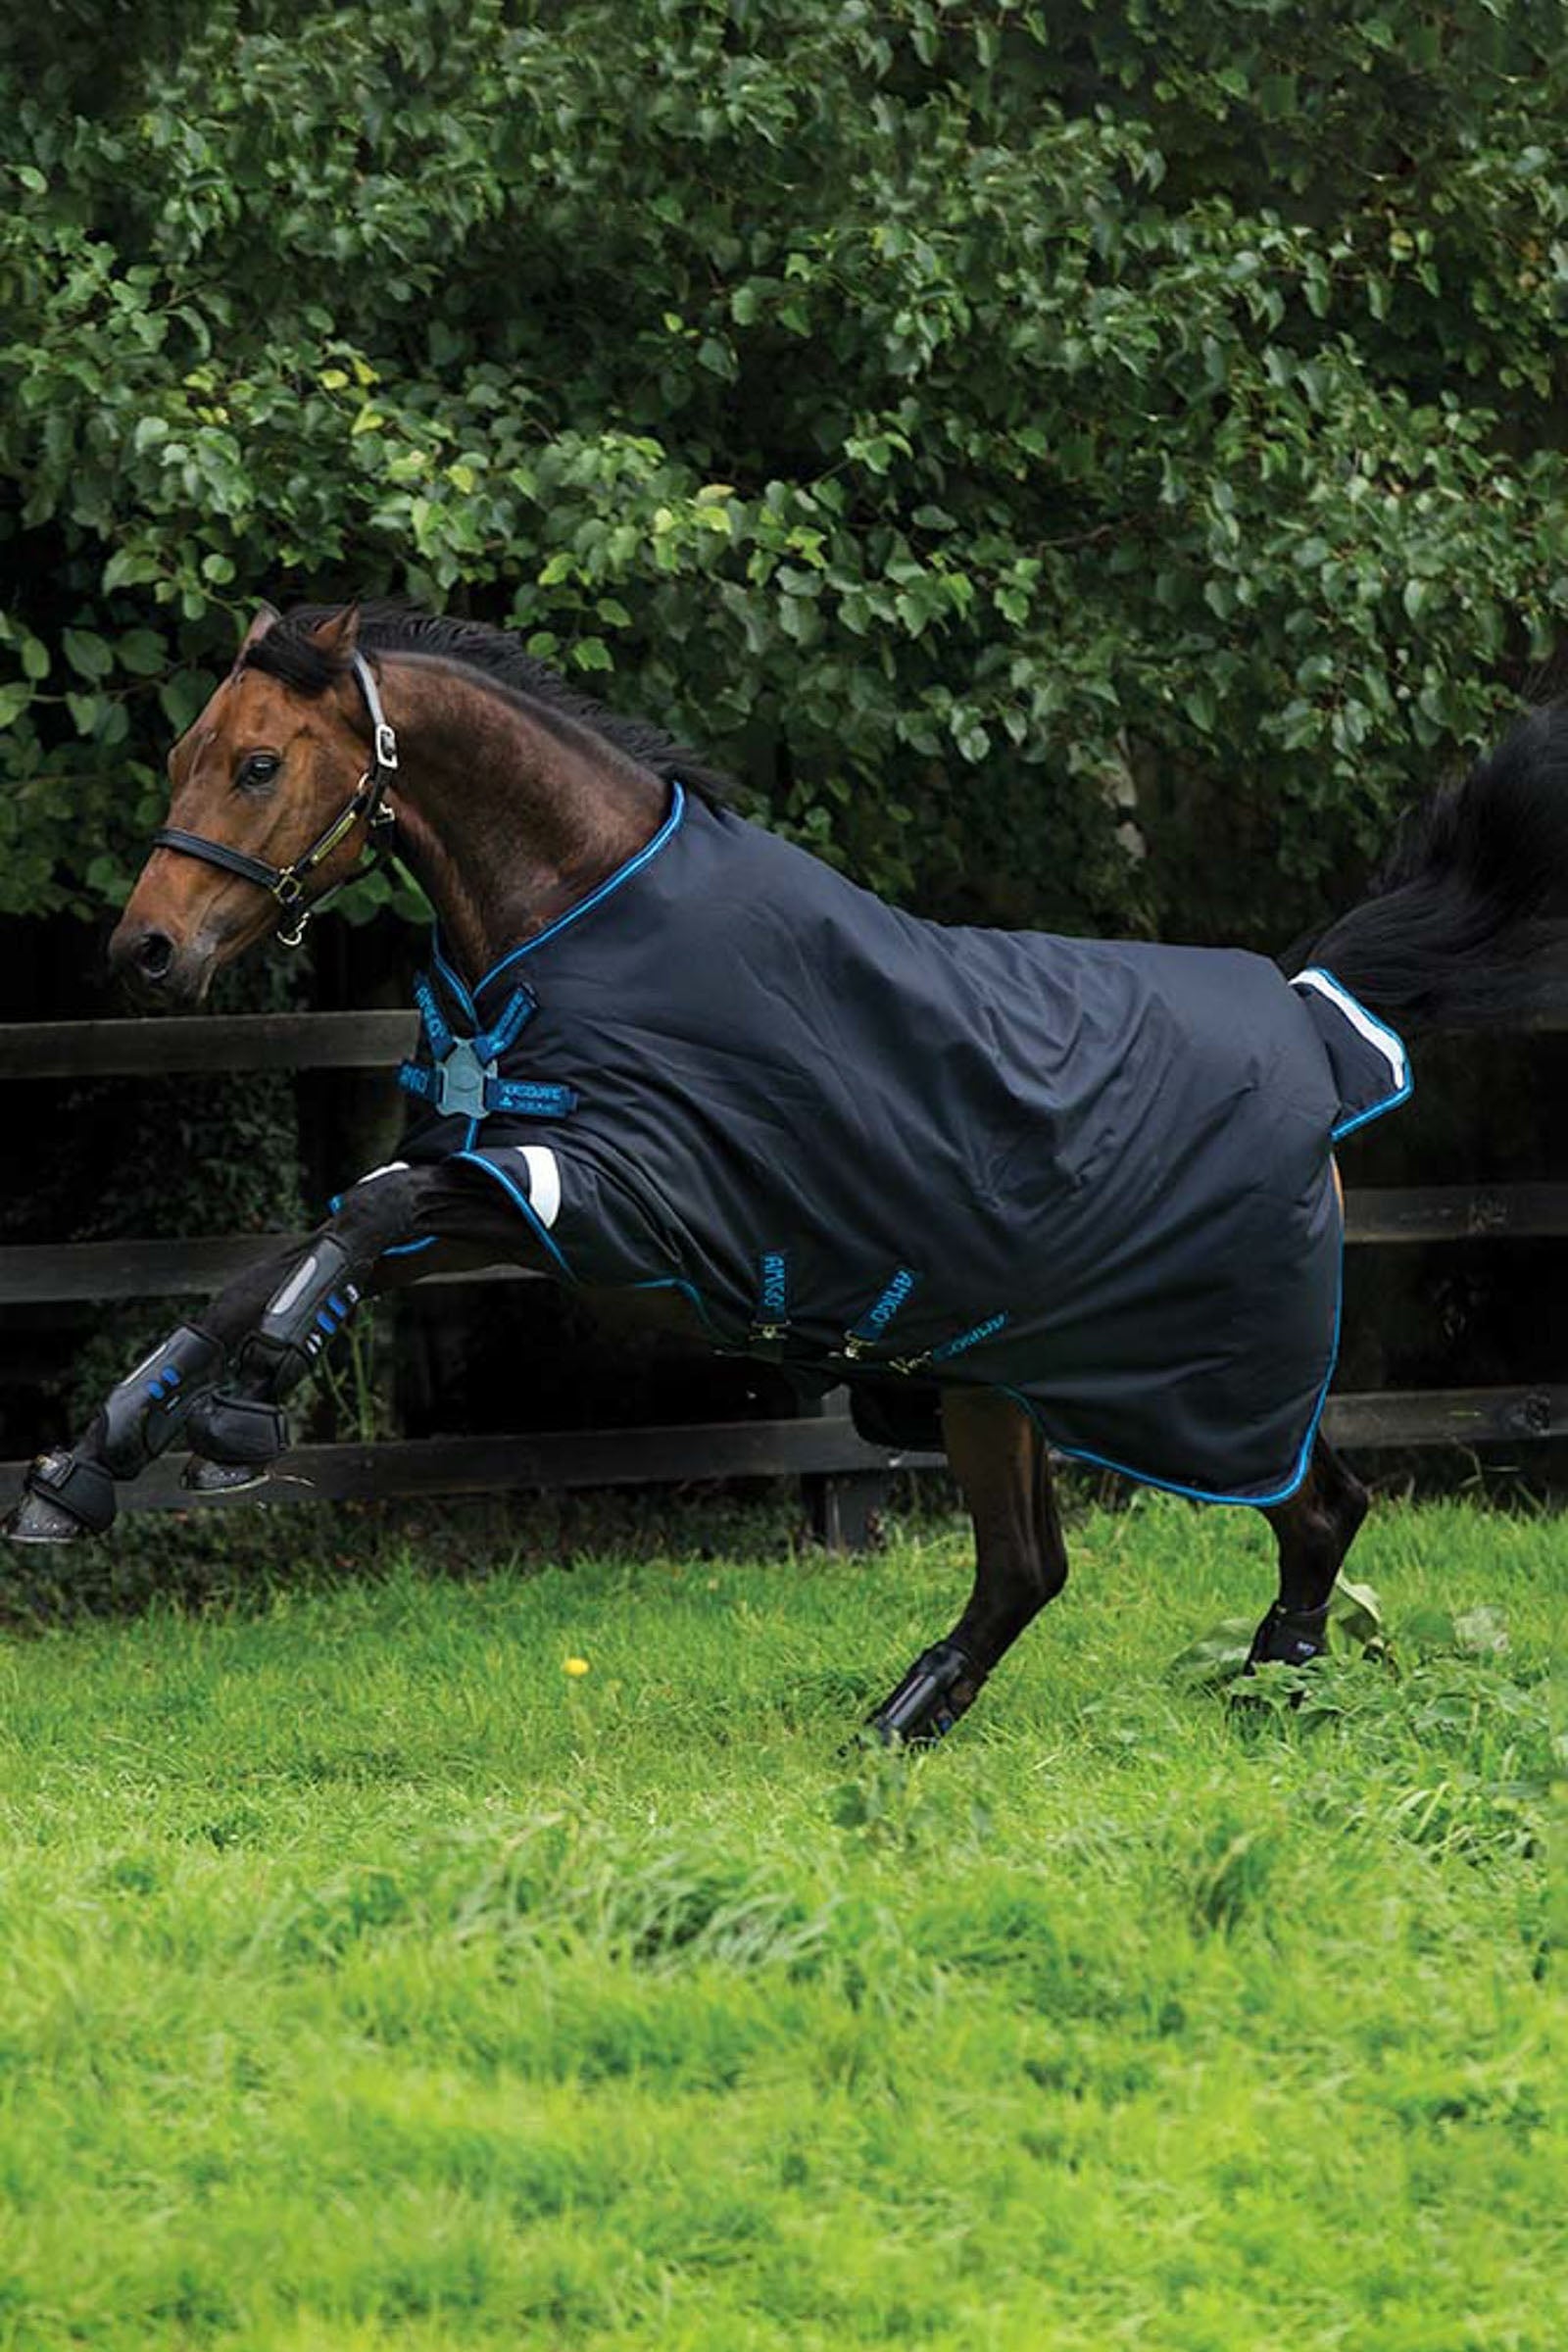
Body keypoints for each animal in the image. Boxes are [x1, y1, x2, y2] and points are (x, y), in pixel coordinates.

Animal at [7, 602, 1566, 1743]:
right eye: (184, 754)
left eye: (261, 765)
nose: (146, 952)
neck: (580, 917)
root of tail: (1307, 1013)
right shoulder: (515, 1189)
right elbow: (290, 1254)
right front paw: (92, 1467)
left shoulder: (612, 1201)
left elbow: (357, 1222)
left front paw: (244, 1417)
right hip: (994, 1383)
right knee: (1036, 1566)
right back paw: (905, 1723)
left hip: (1194, 1391)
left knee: (1314, 1507)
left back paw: (1273, 1684)